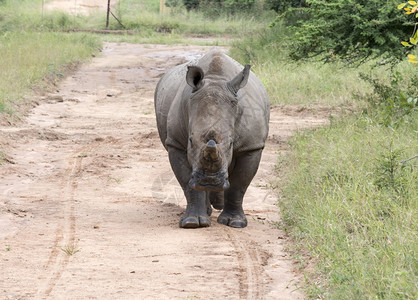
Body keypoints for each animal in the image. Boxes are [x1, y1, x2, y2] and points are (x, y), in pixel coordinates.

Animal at [155, 49, 270, 227]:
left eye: (231, 143)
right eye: (190, 141)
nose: (209, 181)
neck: (216, 79)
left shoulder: (252, 146)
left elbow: (239, 184)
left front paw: (235, 223)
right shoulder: (176, 143)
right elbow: (187, 183)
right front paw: (192, 223)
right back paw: (208, 211)